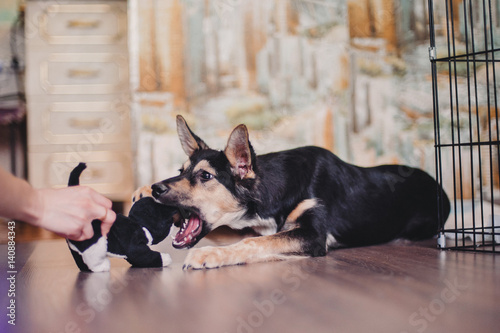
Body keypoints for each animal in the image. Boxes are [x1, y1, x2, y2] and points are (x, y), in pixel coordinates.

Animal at [140, 115, 450, 268]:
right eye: (180, 171)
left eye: (205, 176)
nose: (155, 188)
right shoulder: (253, 226)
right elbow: (245, 236)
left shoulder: (313, 236)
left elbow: (254, 244)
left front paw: (210, 255)